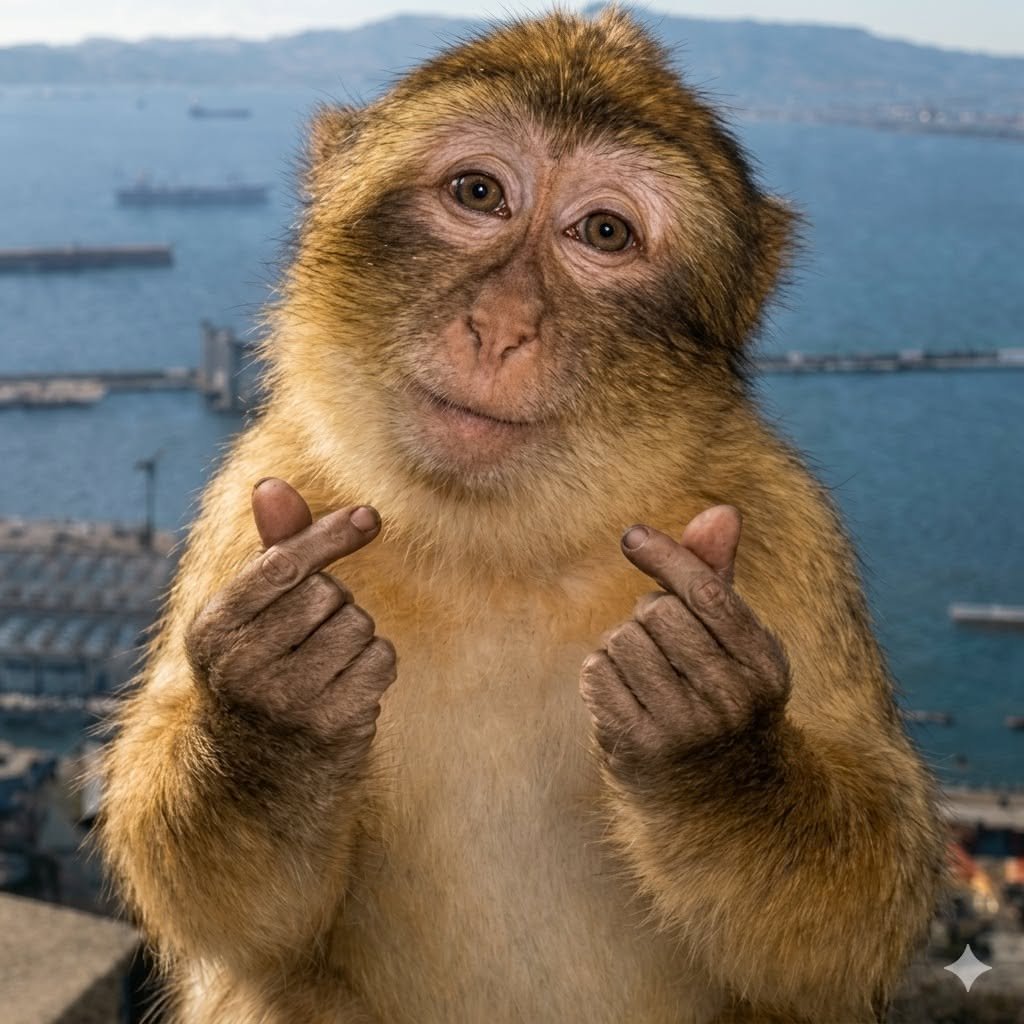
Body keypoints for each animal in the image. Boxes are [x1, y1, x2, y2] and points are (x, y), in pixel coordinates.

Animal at [98, 9, 945, 1023]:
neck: (499, 544)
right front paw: (273, 708)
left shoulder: (783, 520)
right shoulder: (254, 490)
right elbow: (236, 914)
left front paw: (712, 739)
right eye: (479, 193)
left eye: (605, 232)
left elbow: (855, 920)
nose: (500, 325)